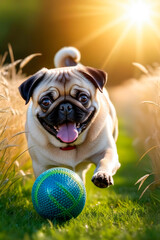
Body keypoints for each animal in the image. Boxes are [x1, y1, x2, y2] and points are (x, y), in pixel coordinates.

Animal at [18, 46, 120, 188]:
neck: (69, 145)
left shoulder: (107, 151)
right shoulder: (41, 166)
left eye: (83, 98)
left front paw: (102, 175)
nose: (65, 106)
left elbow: (105, 161)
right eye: (46, 102)